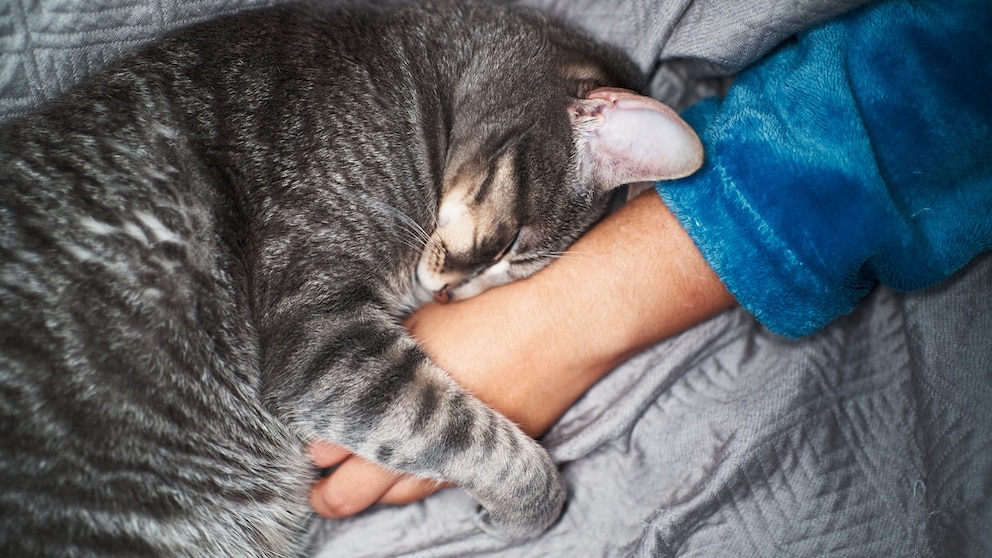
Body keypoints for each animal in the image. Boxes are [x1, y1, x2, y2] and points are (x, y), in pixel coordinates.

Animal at [0, 2, 700, 556]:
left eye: (513, 273)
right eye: (509, 247)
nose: (451, 293)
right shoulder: (320, 338)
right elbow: (476, 440)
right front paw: (530, 508)